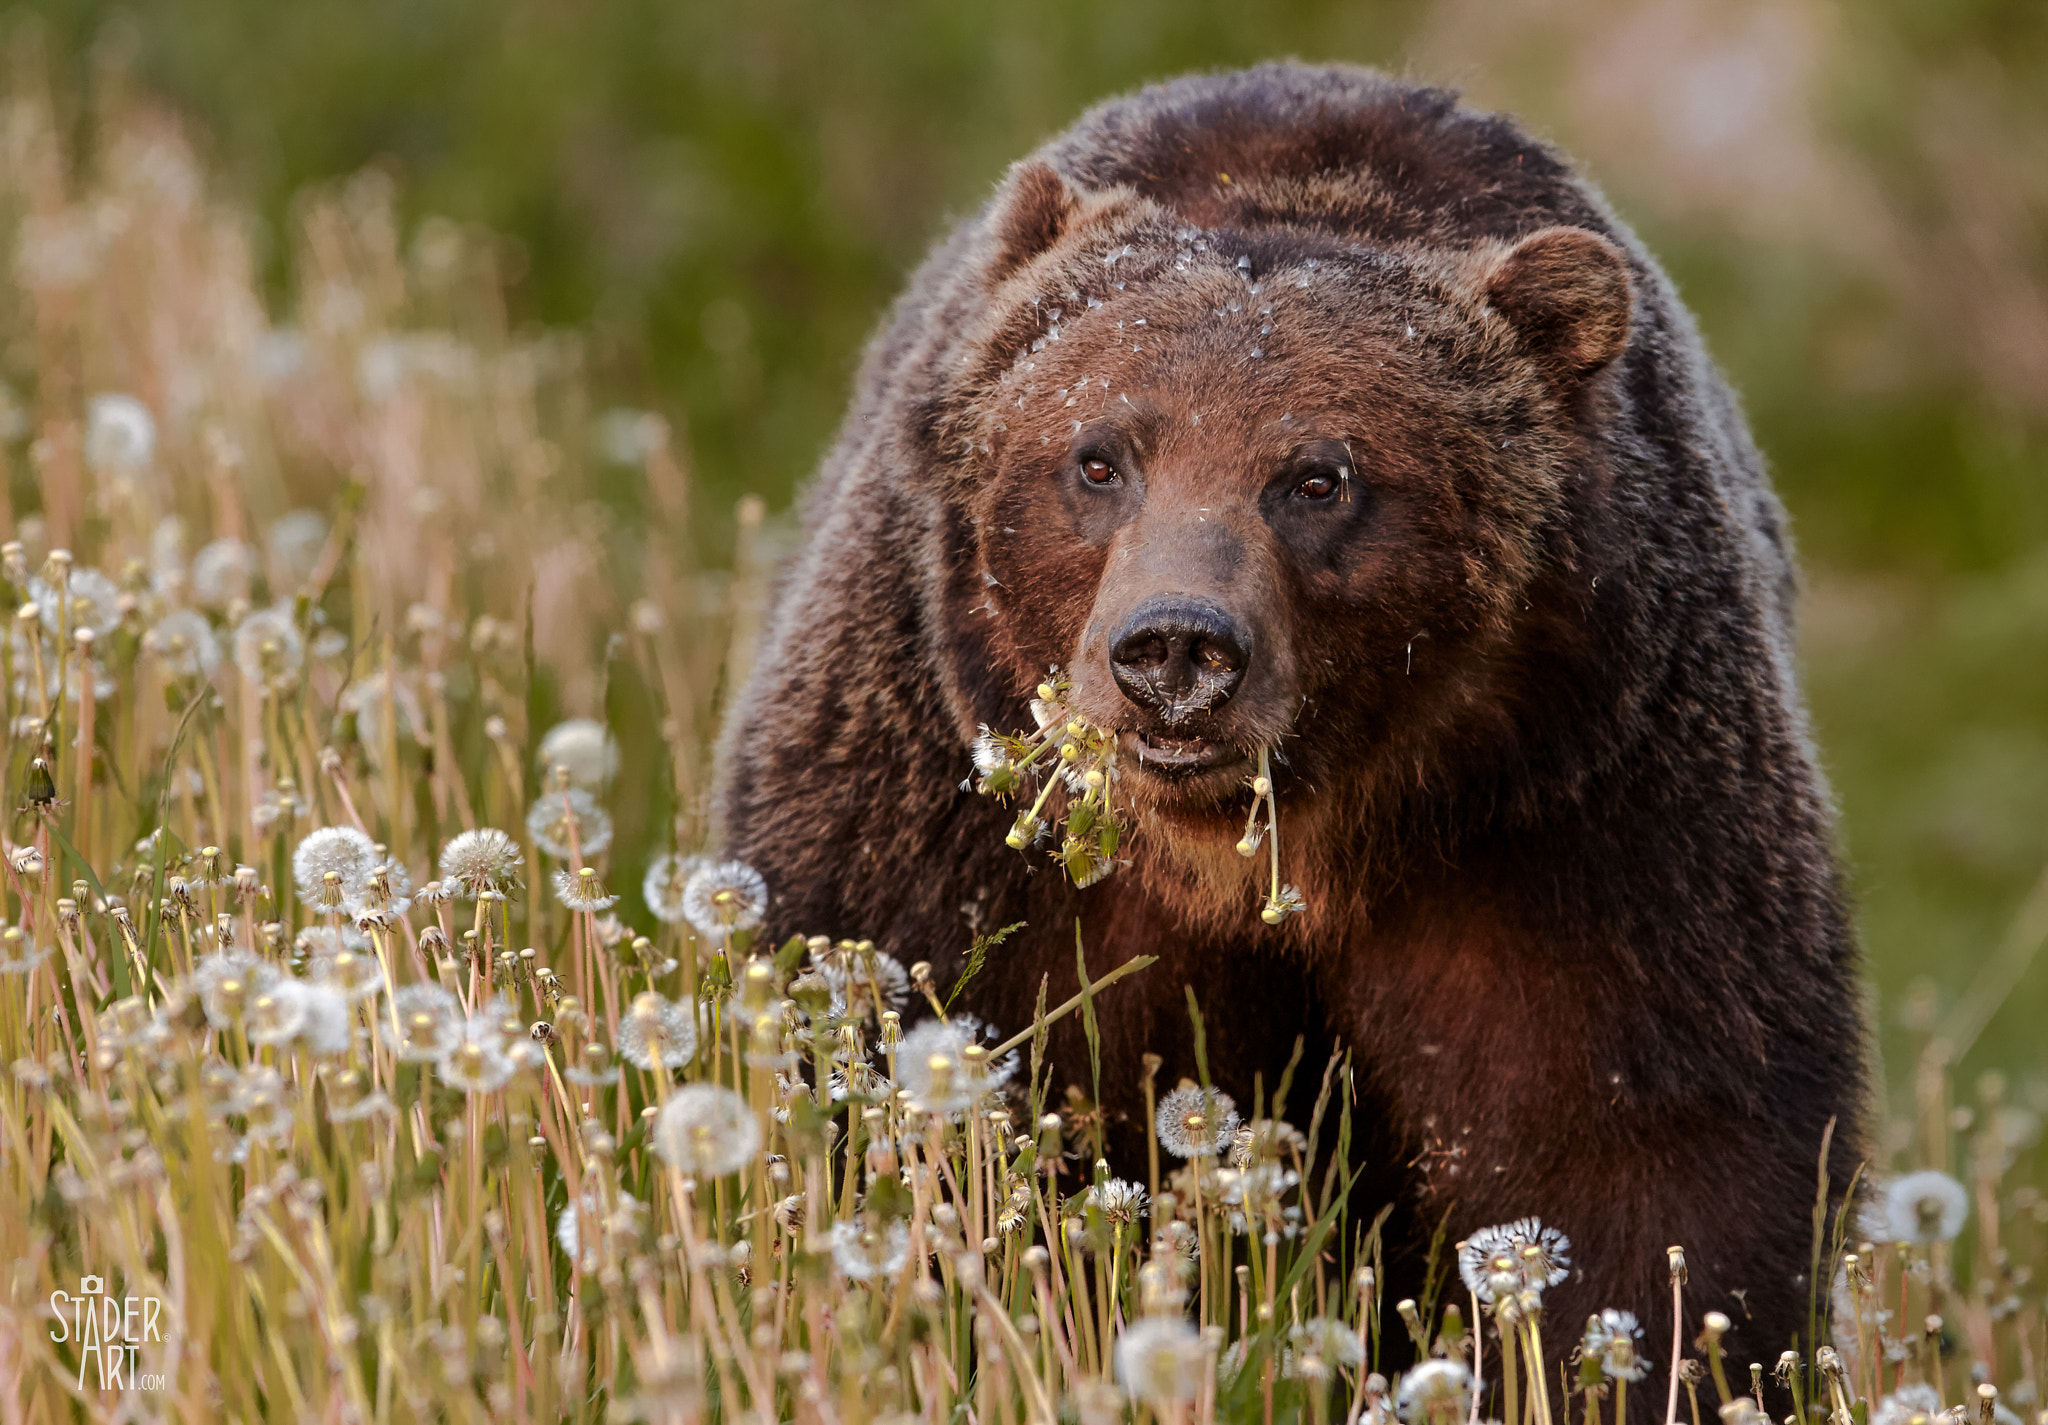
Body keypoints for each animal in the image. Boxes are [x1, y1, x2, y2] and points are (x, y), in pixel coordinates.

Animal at [712, 63, 1867, 1384]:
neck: (1259, 850)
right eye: (1097, 457)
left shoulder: (1576, 815)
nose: (1173, 649)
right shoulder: (948, 812)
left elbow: (1647, 1151)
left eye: (1317, 478)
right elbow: (893, 1051)